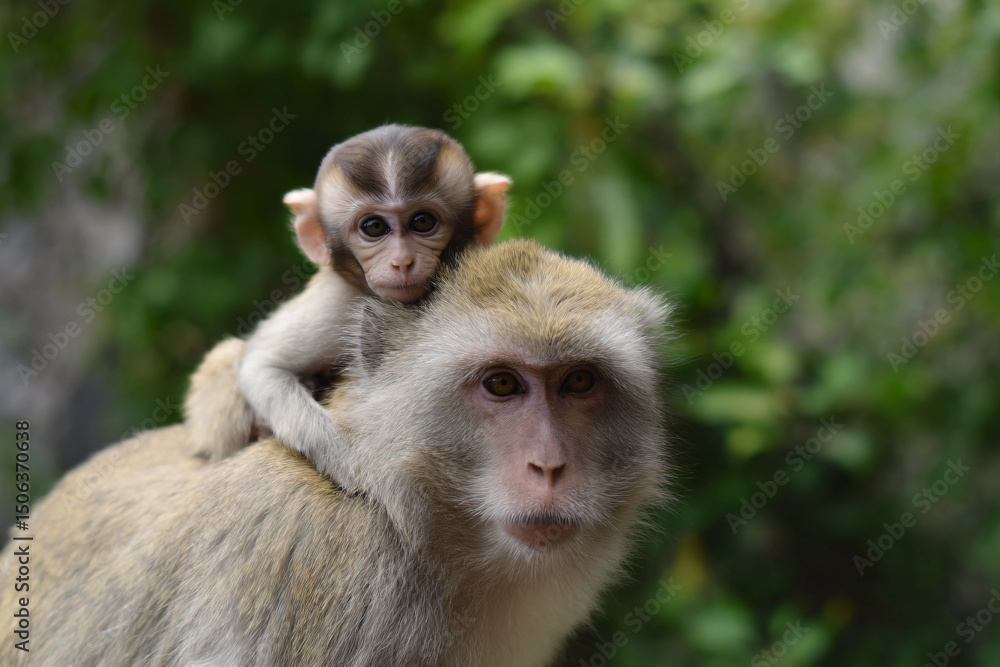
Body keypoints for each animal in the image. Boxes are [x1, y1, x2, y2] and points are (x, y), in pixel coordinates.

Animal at [183, 124, 511, 466]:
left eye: (423, 221)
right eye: (374, 226)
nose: (402, 261)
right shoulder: (336, 300)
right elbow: (261, 367)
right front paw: (346, 458)